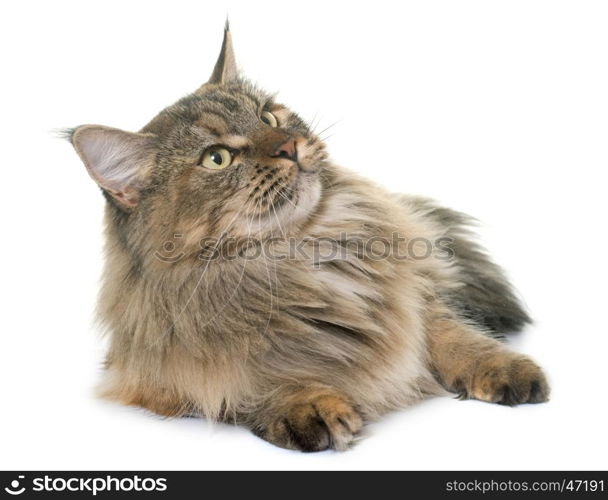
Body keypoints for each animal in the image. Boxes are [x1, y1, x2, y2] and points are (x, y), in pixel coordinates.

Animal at [66, 23, 548, 452]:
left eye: (267, 115)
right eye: (217, 159)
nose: (288, 145)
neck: (306, 253)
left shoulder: (415, 298)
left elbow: (451, 333)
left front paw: (501, 365)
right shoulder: (159, 376)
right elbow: (244, 386)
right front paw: (307, 403)